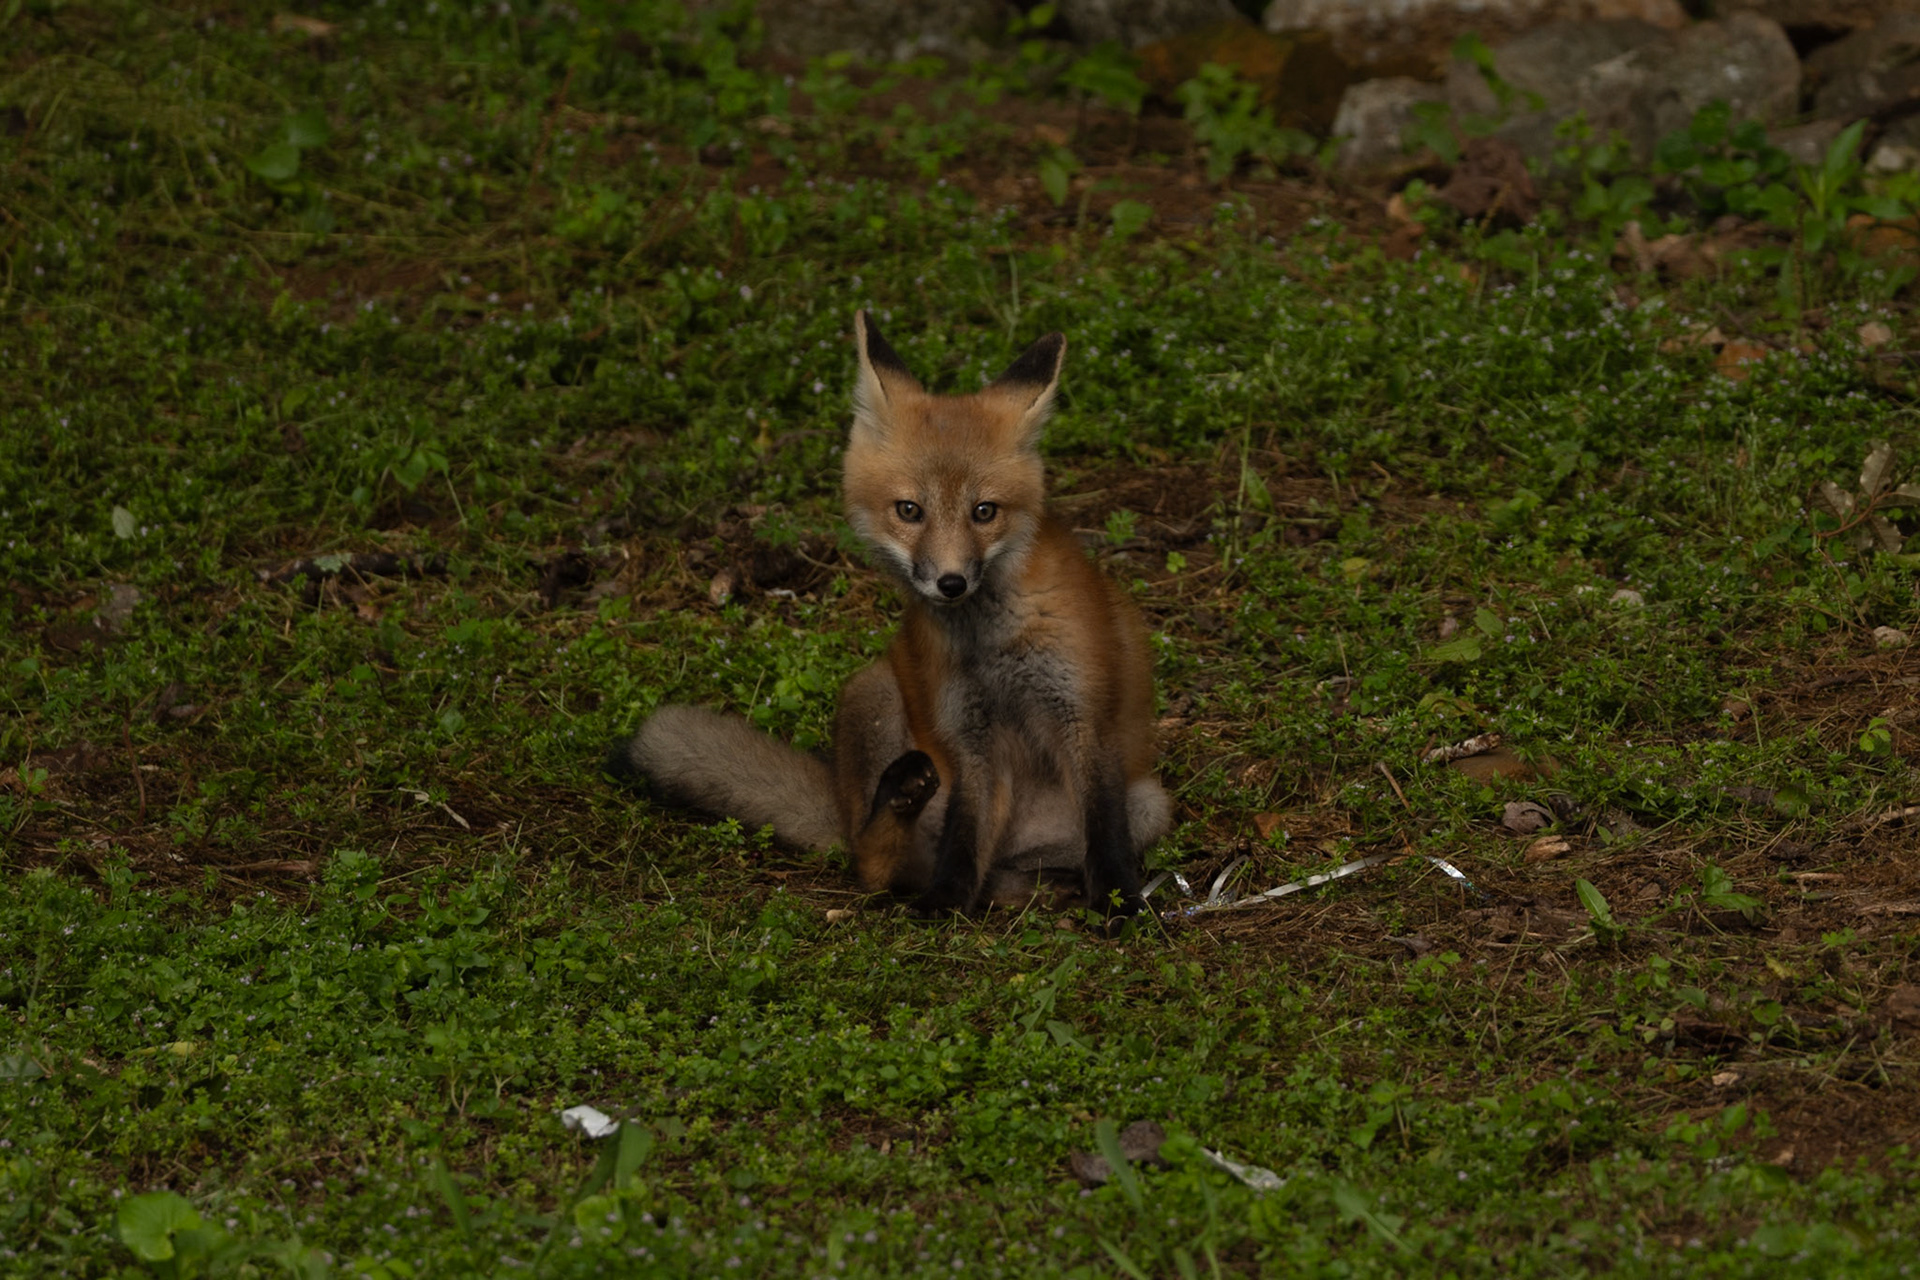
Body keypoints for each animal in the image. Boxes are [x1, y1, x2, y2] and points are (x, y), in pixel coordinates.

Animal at [609, 311, 1171, 918]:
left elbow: (1104, 835)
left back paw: (1034, 890)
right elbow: (963, 843)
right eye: (909, 510)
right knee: (879, 867)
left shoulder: (1084, 718)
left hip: (1148, 804)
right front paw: (945, 903)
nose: (951, 582)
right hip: (875, 692)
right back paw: (903, 824)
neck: (990, 642)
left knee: (997, 872)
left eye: (984, 511)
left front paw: (1119, 903)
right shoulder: (969, 739)